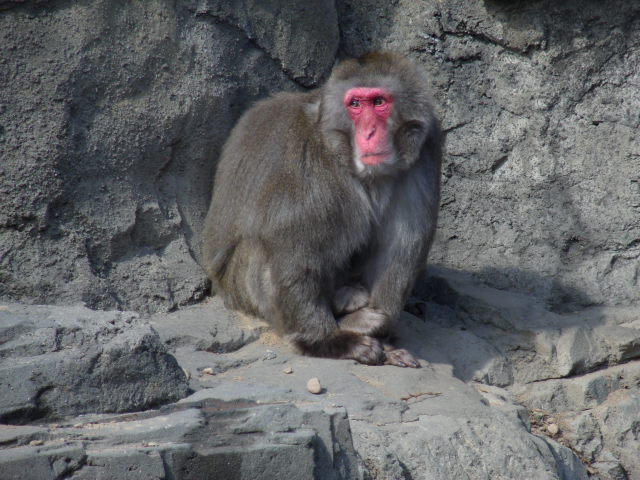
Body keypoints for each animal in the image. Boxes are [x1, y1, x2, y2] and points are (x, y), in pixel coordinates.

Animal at [201, 52, 441, 367]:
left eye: (379, 101)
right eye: (355, 104)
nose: (370, 133)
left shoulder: (425, 150)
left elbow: (399, 249)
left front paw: (386, 340)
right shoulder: (305, 159)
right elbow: (291, 246)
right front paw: (328, 342)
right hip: (238, 288)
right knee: (267, 247)